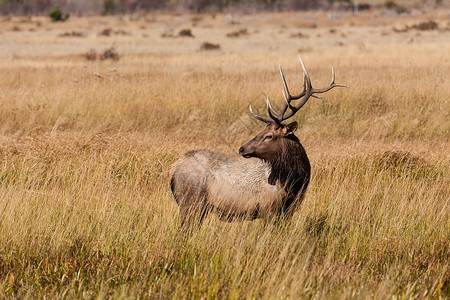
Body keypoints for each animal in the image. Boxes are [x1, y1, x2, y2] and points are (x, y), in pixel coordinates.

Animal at [169, 55, 344, 230]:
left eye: (269, 136)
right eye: (263, 131)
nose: (242, 148)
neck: (295, 182)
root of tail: (173, 172)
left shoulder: (290, 209)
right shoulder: (268, 208)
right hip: (191, 203)